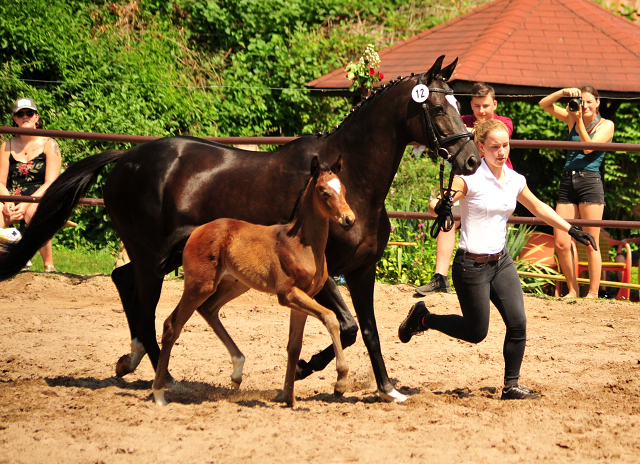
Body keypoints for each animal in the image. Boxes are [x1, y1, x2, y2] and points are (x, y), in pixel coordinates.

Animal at [153, 157, 358, 406]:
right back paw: (159, 394)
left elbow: (294, 346)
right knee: (172, 325)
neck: (301, 244)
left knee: (208, 309)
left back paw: (237, 371)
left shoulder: (303, 297)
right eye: (324, 192)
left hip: (234, 284)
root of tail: (196, 230)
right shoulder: (287, 294)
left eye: (344, 189)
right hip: (199, 286)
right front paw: (340, 383)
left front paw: (288, 397)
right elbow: (330, 318)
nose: (349, 219)